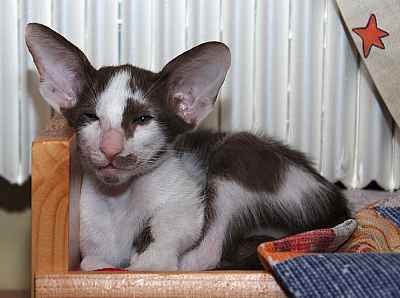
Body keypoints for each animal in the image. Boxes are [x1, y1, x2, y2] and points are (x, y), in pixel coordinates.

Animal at [25, 22, 350, 270]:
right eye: (91, 117)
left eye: (142, 119)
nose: (110, 148)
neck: (121, 199)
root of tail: (338, 204)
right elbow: (91, 262)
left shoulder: (184, 200)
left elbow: (166, 242)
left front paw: (148, 261)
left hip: (239, 154)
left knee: (210, 251)